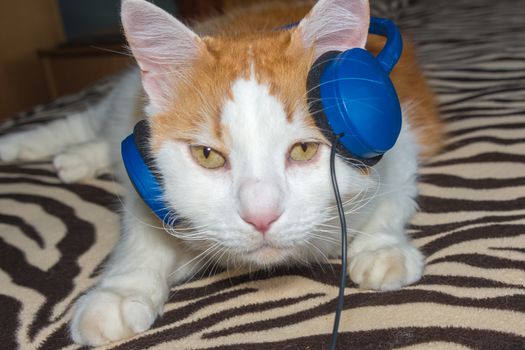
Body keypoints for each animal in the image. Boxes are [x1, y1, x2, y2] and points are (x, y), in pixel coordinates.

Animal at [0, 0, 442, 344]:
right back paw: (29, 146)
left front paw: (382, 247)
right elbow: (141, 233)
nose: (261, 217)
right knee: (89, 122)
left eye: (303, 150)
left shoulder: (403, 141)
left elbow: (394, 196)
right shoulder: (151, 186)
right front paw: (121, 291)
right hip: (127, 99)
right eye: (208, 156)